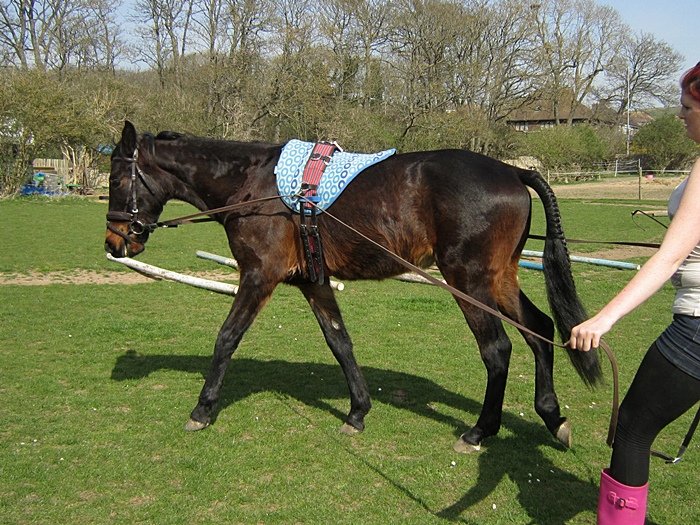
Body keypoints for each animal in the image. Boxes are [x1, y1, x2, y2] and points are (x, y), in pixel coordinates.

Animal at [104, 121, 601, 453]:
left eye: (116, 178)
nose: (114, 242)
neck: (252, 185)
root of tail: (512, 171)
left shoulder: (258, 276)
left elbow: (227, 338)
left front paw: (203, 410)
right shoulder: (314, 282)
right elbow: (339, 342)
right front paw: (357, 411)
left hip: (468, 279)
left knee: (497, 349)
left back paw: (480, 430)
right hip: (499, 278)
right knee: (539, 331)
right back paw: (551, 416)